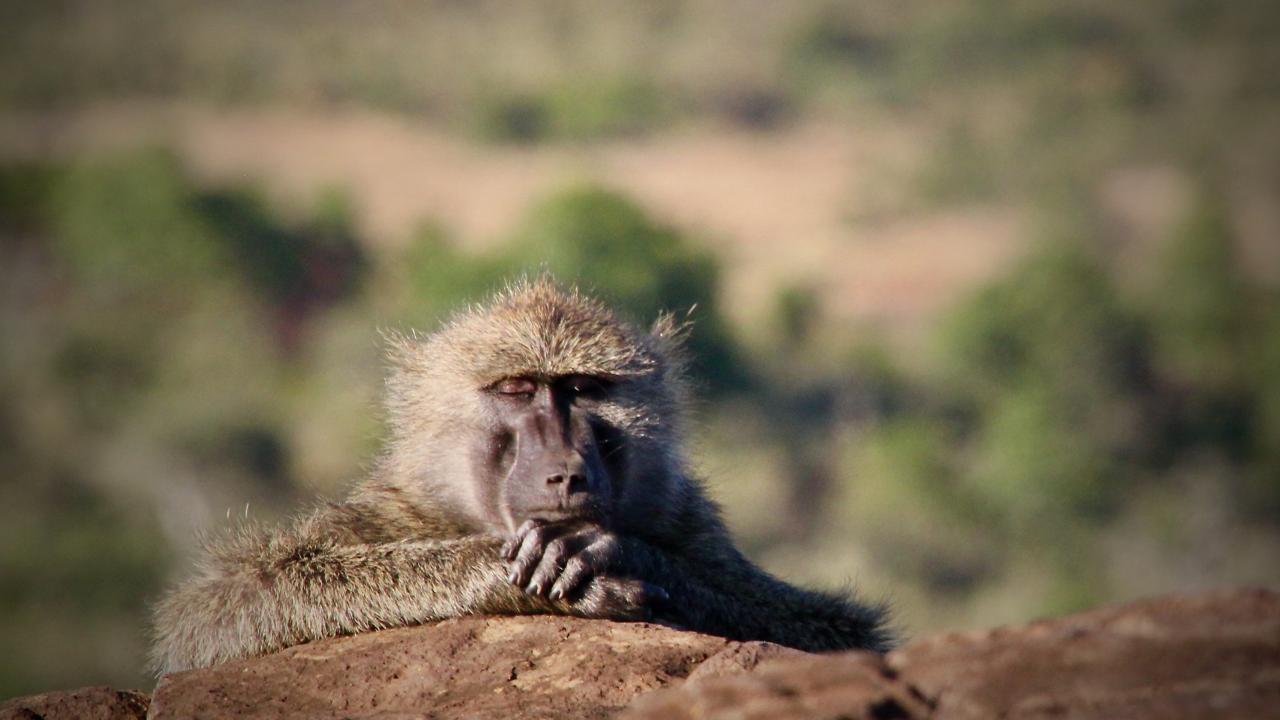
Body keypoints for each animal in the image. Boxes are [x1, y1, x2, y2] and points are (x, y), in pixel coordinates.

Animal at [150, 277, 891, 674]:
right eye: (516, 388)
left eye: (584, 388)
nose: (564, 475)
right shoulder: (387, 513)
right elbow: (225, 604)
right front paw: (500, 570)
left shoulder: (687, 521)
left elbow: (841, 631)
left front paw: (613, 554)